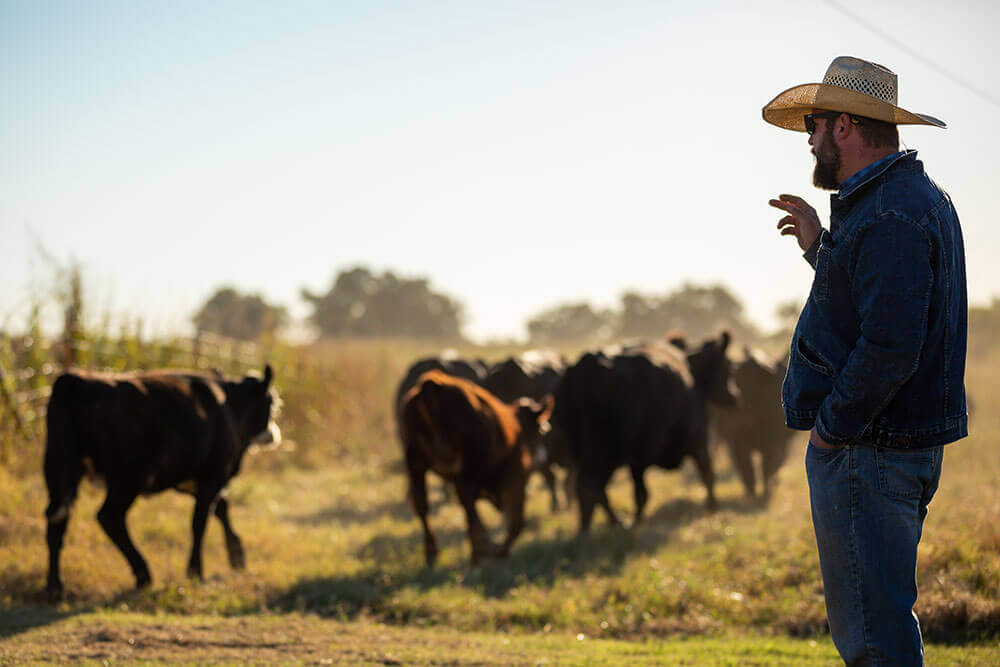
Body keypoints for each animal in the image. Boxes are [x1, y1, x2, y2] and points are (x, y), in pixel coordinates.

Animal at [42, 366, 278, 600]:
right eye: (271, 403)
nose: (274, 434)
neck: (228, 405)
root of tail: (74, 380)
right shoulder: (212, 476)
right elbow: (200, 522)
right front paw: (196, 572)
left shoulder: (194, 480)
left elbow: (221, 508)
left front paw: (236, 555)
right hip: (127, 478)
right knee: (109, 517)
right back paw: (143, 575)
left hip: (57, 466)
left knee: (57, 520)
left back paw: (55, 585)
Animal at [398, 370, 556, 568]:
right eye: (542, 430)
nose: (542, 456)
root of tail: (433, 385)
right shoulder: (516, 476)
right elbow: (517, 522)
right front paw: (499, 551)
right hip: (466, 465)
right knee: (465, 498)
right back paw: (484, 547)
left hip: (416, 461)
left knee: (422, 502)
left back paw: (434, 552)